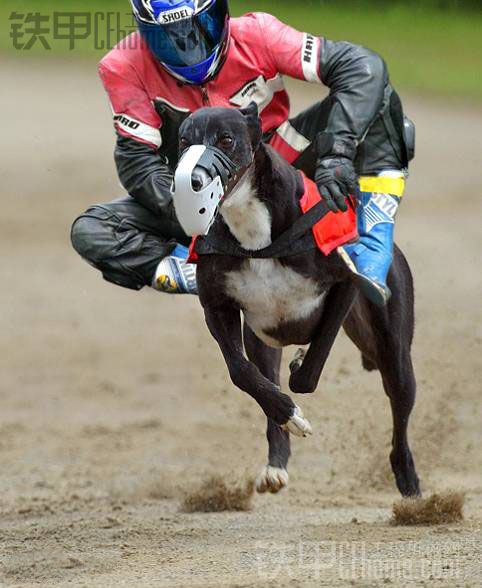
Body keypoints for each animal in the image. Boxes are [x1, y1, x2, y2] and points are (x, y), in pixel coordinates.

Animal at [173, 102, 418, 496]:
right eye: (184, 141)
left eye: (226, 139)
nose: (192, 180)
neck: (256, 235)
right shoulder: (217, 307)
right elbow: (242, 372)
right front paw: (289, 413)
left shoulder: (343, 284)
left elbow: (312, 366)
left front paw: (301, 366)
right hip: (264, 339)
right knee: (266, 381)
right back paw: (276, 462)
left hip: (392, 344)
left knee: (399, 401)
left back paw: (410, 482)